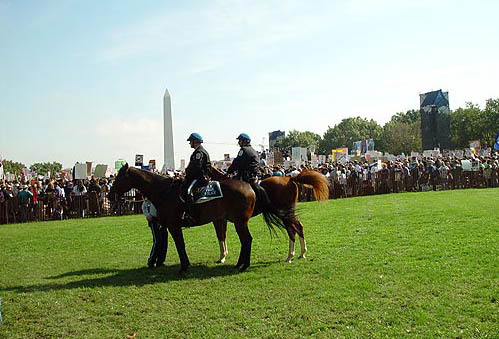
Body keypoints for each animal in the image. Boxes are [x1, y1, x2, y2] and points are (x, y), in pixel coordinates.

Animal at [109, 164, 290, 274]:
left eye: (120, 177)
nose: (110, 195)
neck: (164, 191)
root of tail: (250, 185)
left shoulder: (174, 226)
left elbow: (180, 245)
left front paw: (184, 267)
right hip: (238, 222)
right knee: (245, 241)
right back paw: (240, 264)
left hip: (240, 222)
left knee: (247, 240)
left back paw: (244, 265)